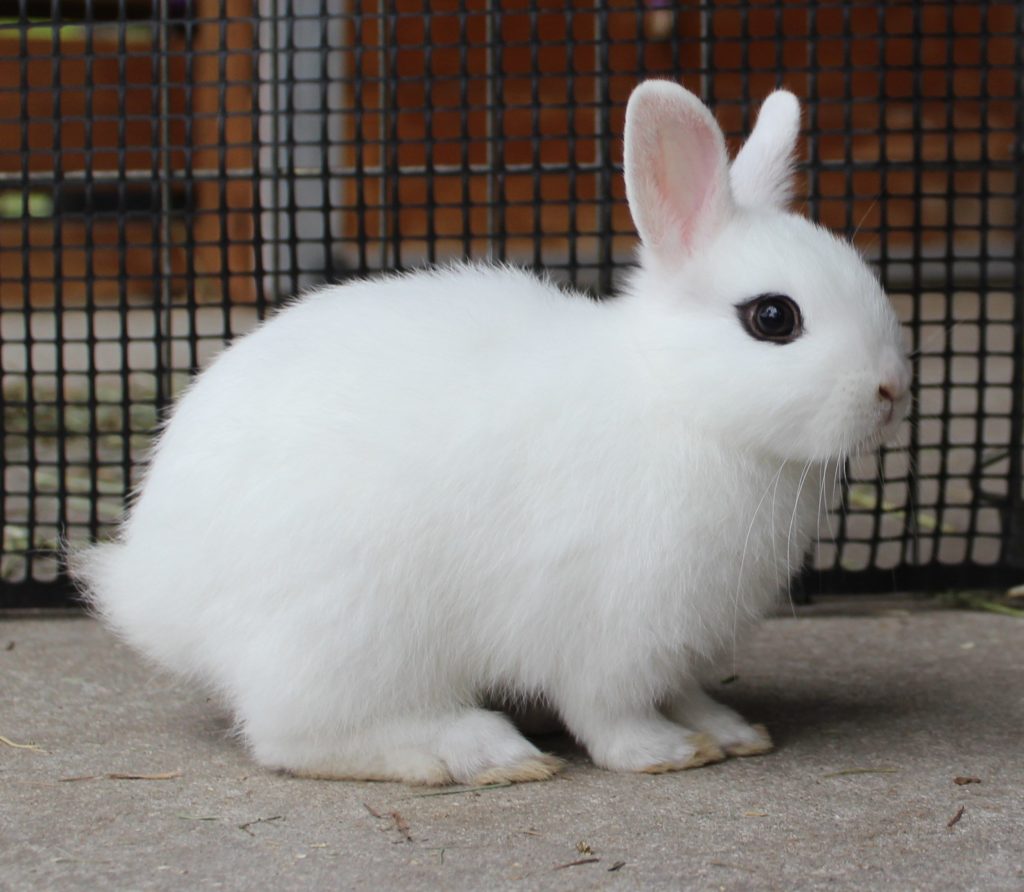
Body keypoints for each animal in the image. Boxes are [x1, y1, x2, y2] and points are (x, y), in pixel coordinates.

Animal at [72, 80, 911, 786]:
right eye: (773, 318)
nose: (891, 391)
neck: (677, 400)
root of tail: (157, 587)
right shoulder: (609, 627)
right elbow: (611, 712)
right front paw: (666, 753)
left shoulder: (676, 644)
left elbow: (684, 692)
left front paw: (730, 731)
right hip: (349, 632)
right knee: (295, 736)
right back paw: (477, 751)